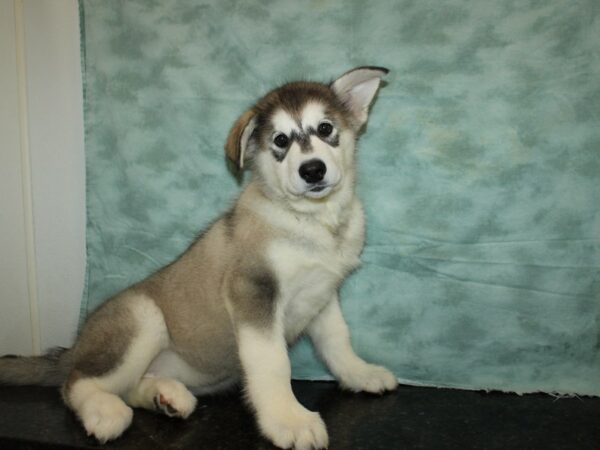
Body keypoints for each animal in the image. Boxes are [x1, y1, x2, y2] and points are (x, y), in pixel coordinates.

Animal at [1, 67, 398, 450]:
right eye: (281, 141)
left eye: (326, 128)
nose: (312, 170)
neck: (313, 221)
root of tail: (76, 348)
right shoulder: (253, 292)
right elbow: (273, 364)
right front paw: (289, 420)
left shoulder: (323, 295)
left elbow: (337, 340)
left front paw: (359, 373)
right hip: (141, 318)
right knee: (76, 383)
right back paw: (105, 411)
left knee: (126, 386)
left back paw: (165, 396)